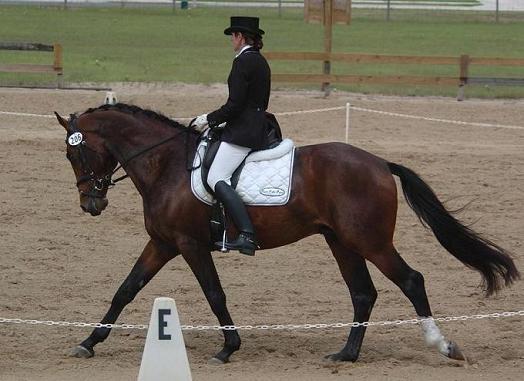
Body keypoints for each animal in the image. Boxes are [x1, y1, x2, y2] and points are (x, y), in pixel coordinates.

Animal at [54, 103, 520, 362]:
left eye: (76, 153)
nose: (91, 204)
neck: (166, 165)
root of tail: (379, 163)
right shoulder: (163, 243)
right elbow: (125, 289)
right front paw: (89, 342)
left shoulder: (189, 244)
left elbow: (214, 294)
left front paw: (229, 348)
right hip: (341, 242)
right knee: (363, 293)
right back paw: (347, 355)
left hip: (369, 241)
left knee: (411, 280)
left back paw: (443, 346)